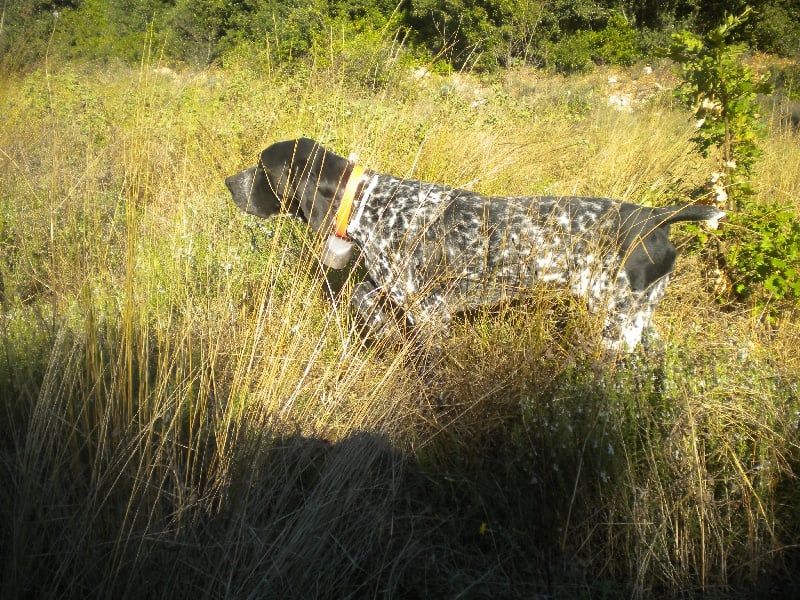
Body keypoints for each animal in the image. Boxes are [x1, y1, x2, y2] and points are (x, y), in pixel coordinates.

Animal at [225, 138, 724, 354]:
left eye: (262, 168)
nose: (230, 182)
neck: (372, 205)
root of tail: (657, 217)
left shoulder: (431, 312)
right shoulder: (395, 288)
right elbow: (364, 297)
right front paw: (382, 331)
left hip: (615, 323)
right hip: (636, 316)